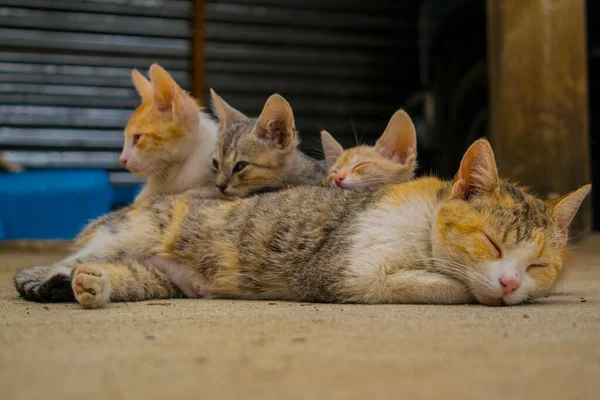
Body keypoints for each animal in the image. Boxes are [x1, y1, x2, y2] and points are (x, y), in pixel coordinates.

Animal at [14, 139, 592, 308]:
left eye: (539, 266)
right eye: (492, 244)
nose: (511, 282)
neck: (423, 231)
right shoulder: (344, 272)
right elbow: (449, 286)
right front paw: (463, 284)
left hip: (160, 280)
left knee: (112, 275)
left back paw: (83, 286)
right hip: (130, 231)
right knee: (73, 255)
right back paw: (40, 276)